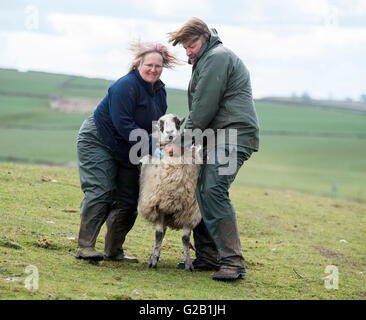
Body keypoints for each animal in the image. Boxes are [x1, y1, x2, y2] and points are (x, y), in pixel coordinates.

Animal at [138, 114, 203, 272]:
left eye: (178, 123)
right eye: (161, 125)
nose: (170, 134)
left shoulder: (190, 210)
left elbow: (185, 238)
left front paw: (189, 264)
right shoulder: (158, 205)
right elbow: (158, 235)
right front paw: (153, 262)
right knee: (162, 232)